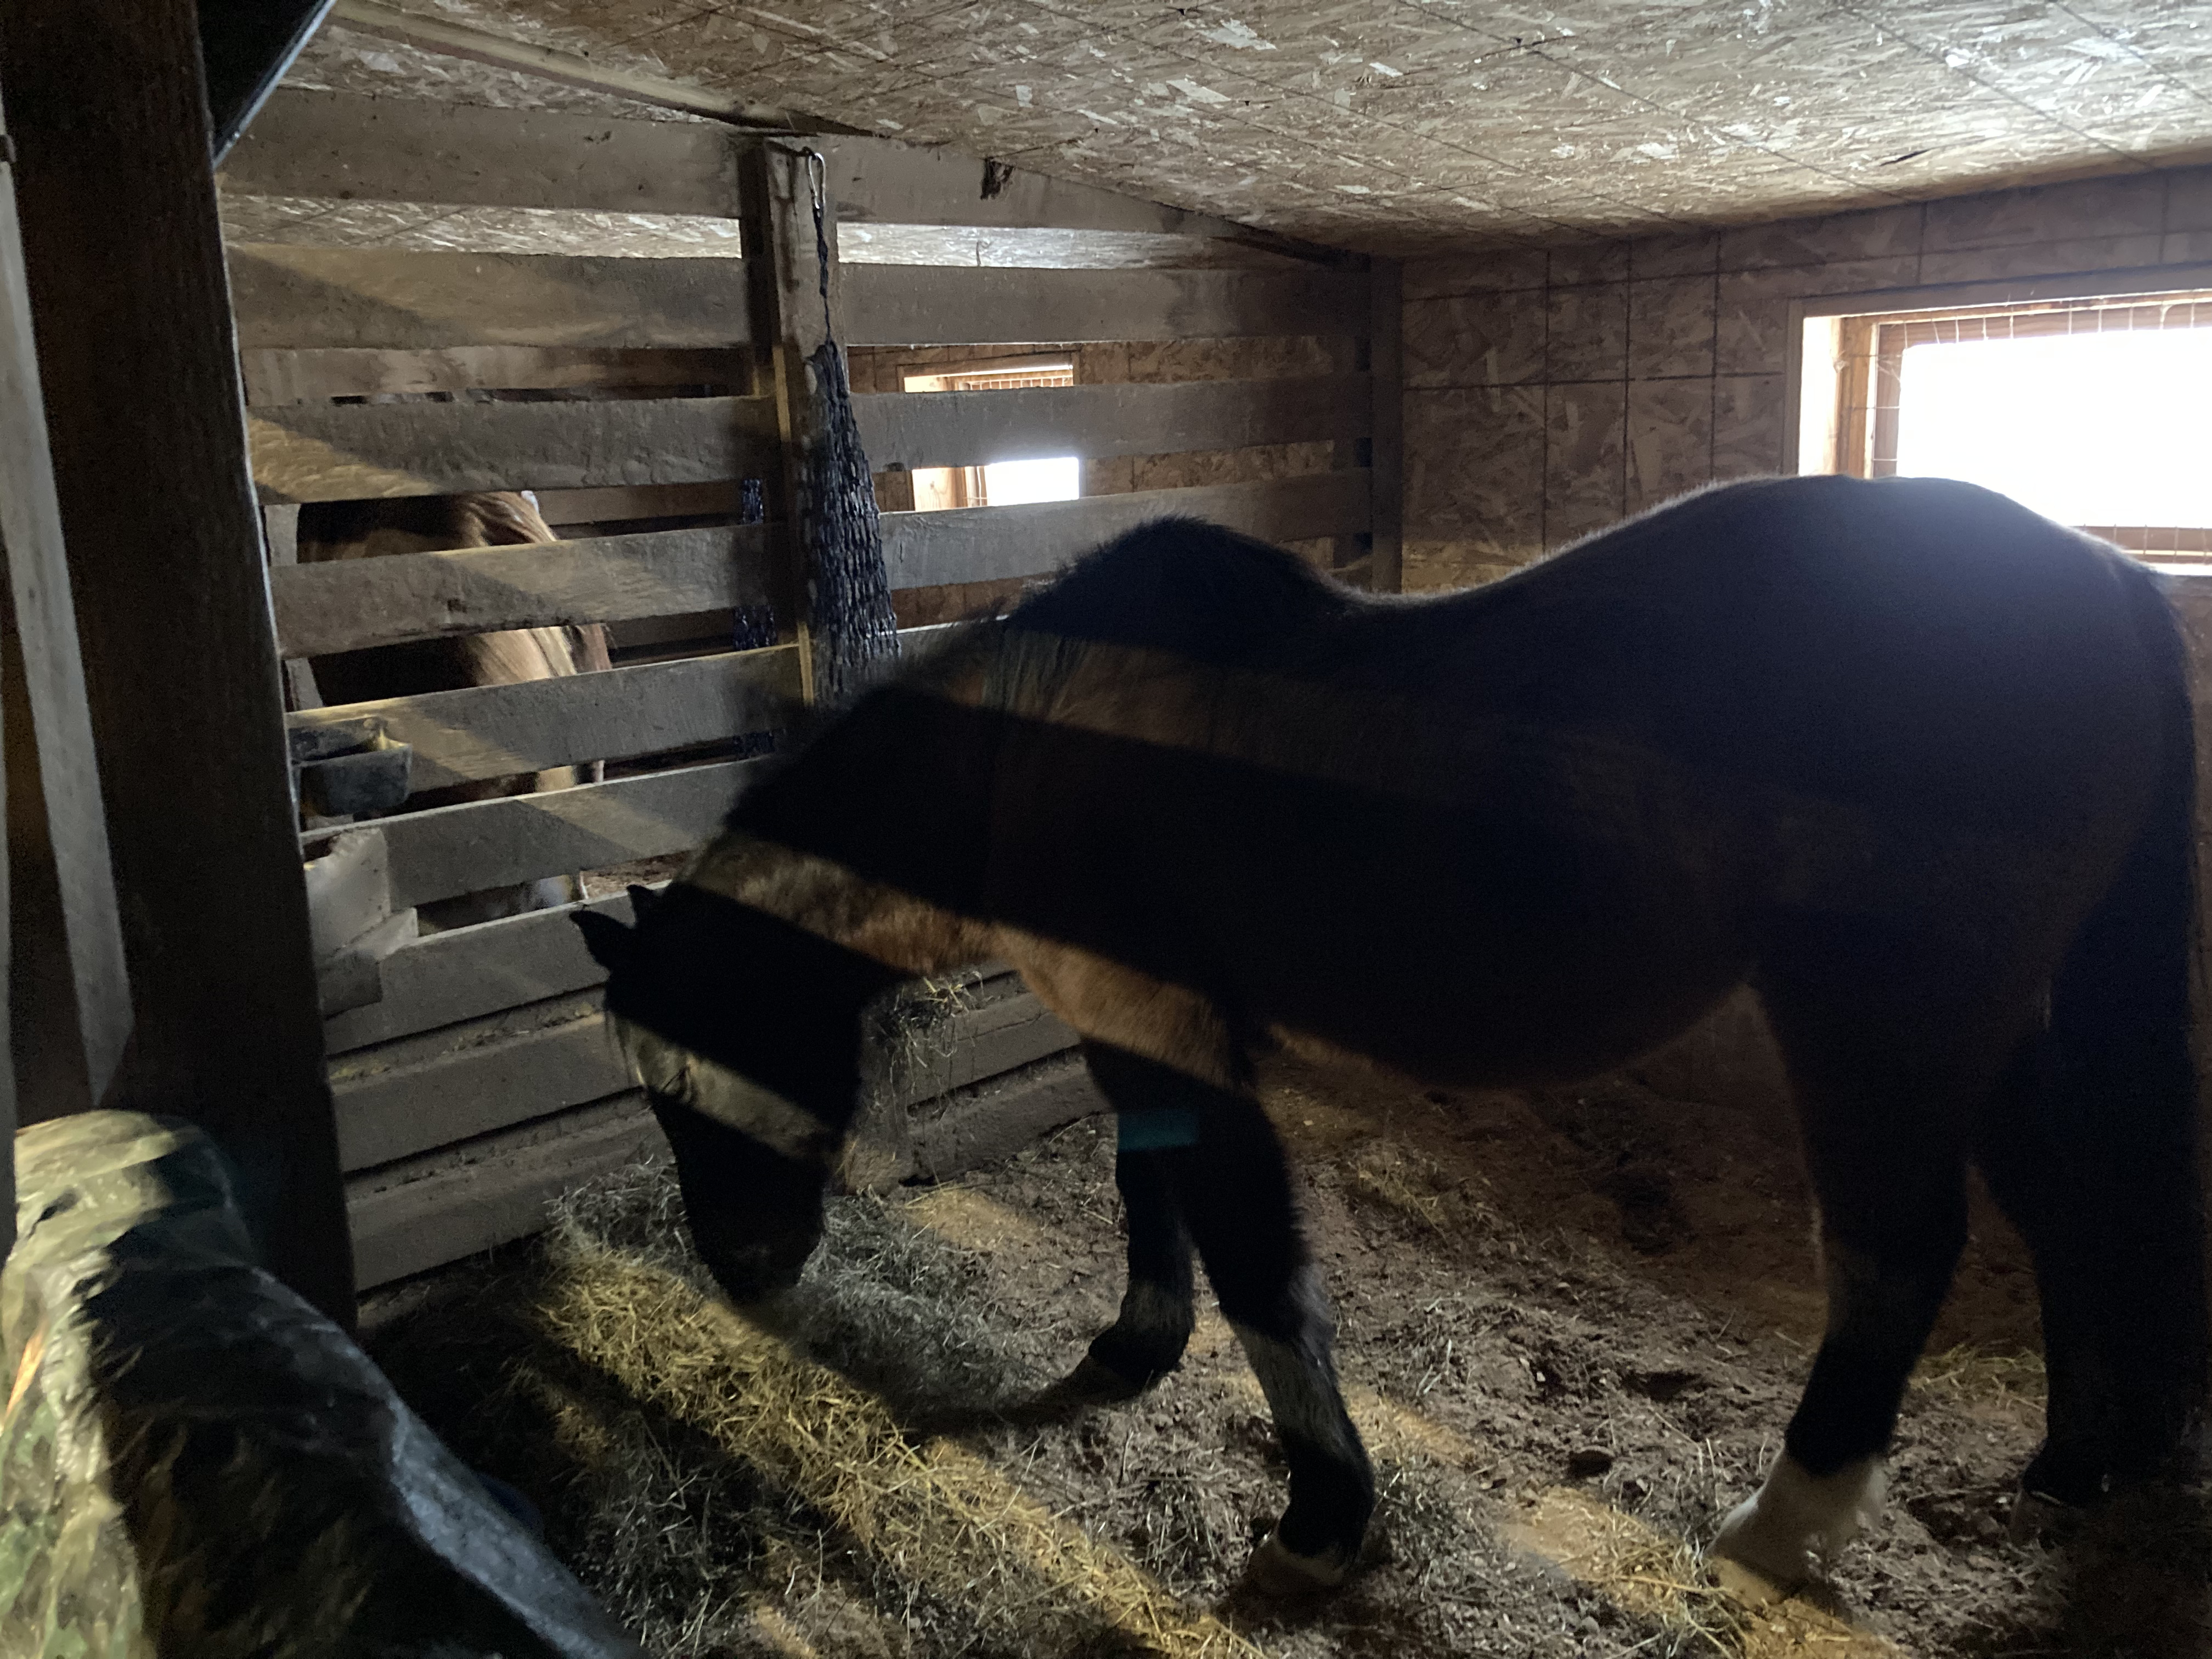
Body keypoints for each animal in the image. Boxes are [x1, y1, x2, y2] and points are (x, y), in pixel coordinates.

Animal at [573, 473, 2207, 1594]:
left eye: (692, 1068)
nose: (743, 1270)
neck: (1031, 749)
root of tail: (2105, 577)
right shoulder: (1129, 1029)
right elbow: (1148, 1190)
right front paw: (1134, 1347)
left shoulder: (1177, 1036)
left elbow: (1259, 1266)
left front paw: (1321, 1521)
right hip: (1997, 1028)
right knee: (2072, 1218)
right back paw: (2070, 1469)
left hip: (1875, 1020)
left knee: (1897, 1253)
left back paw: (1778, 1527)